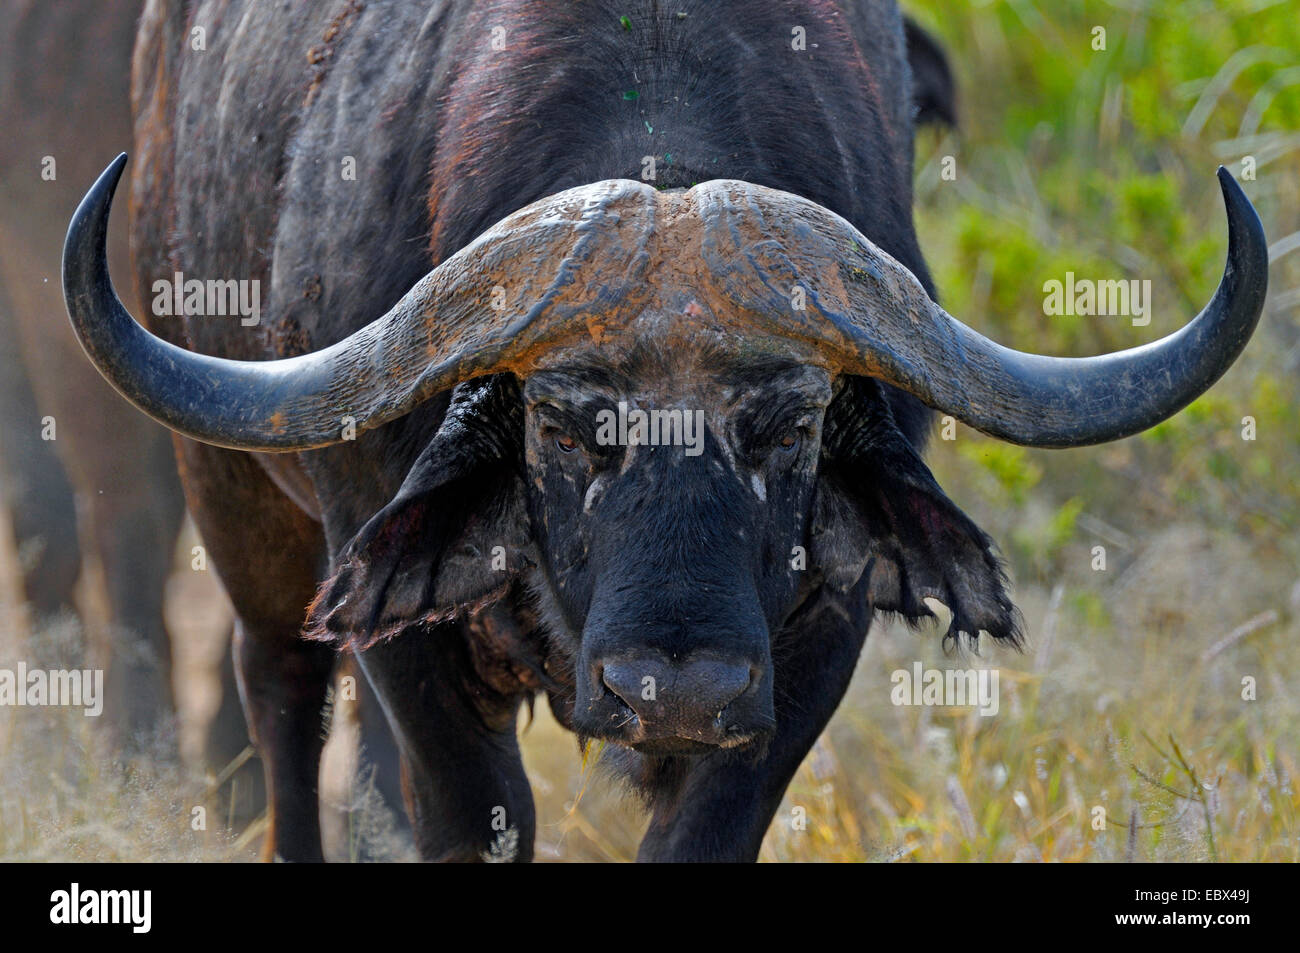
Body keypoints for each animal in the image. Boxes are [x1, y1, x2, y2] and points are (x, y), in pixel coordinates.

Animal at [58, 1, 1258, 863]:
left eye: (793, 424)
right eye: (561, 423)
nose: (674, 691)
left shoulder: (808, 650)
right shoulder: (399, 617)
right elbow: (470, 812)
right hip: (236, 496)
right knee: (280, 695)